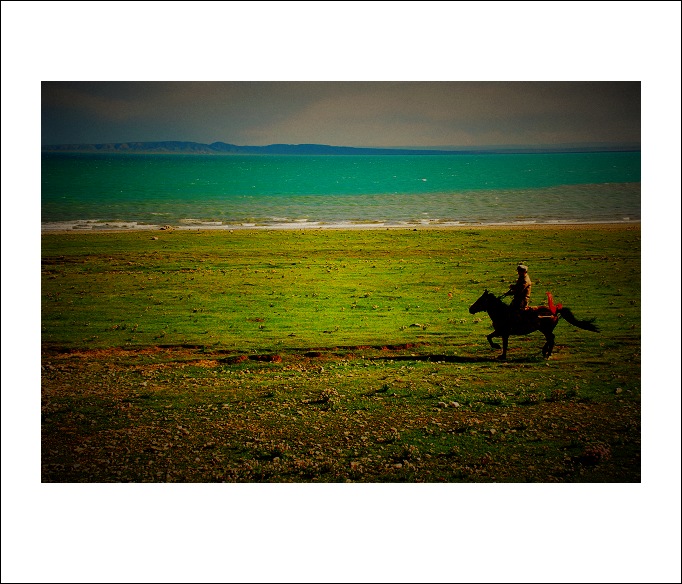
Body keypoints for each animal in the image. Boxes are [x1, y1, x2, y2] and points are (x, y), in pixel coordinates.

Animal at [464, 288, 596, 358]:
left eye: (481, 300)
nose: (470, 309)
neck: (502, 312)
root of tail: (554, 311)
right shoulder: (501, 332)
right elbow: (490, 337)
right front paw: (499, 350)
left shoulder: (503, 332)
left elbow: (498, 341)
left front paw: (500, 352)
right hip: (544, 330)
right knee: (550, 338)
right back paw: (544, 352)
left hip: (545, 329)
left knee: (551, 339)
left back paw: (547, 353)